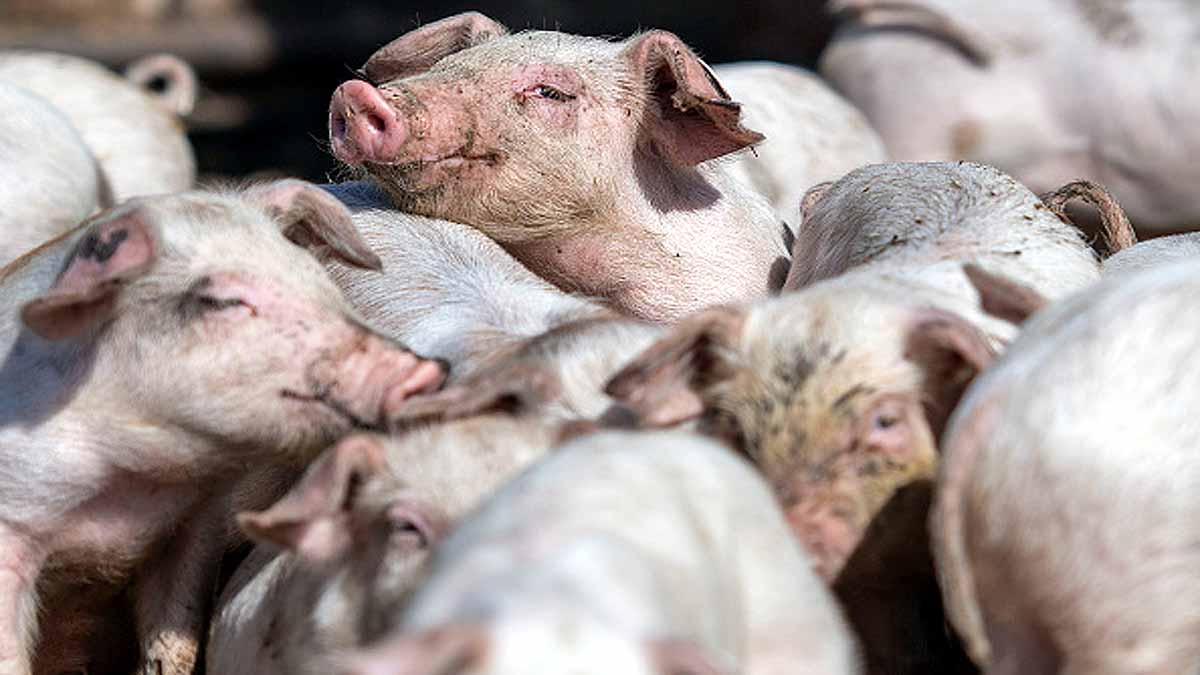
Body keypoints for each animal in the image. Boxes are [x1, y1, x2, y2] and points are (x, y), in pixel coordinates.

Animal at [0, 180, 445, 675]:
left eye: (318, 279)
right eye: (222, 301)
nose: (425, 370)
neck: (128, 489)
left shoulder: (198, 519)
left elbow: (176, 638)